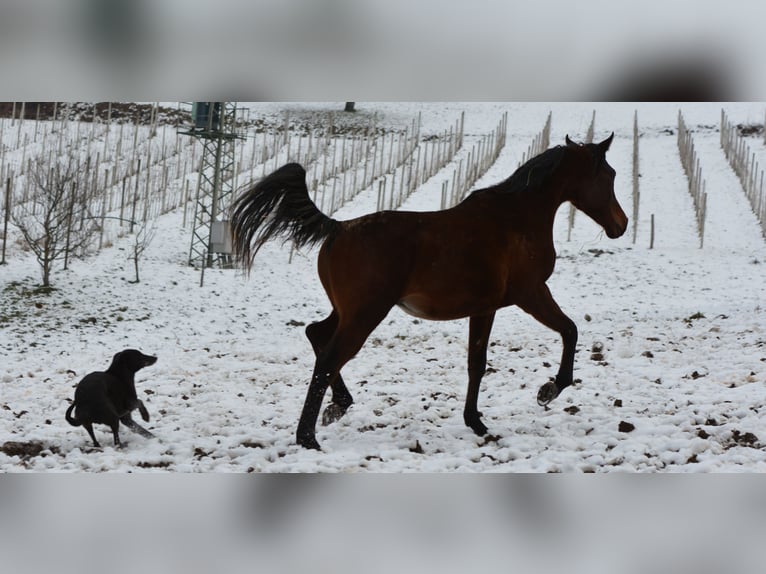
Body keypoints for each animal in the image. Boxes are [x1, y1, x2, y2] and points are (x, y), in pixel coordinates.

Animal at [231, 134, 628, 450]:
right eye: (609, 175)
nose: (621, 225)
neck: (517, 220)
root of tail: (338, 228)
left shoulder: (485, 308)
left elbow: (476, 364)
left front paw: (476, 422)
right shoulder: (530, 293)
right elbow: (570, 330)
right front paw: (549, 390)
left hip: (348, 312)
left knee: (316, 334)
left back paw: (338, 407)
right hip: (365, 314)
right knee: (329, 359)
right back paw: (308, 437)